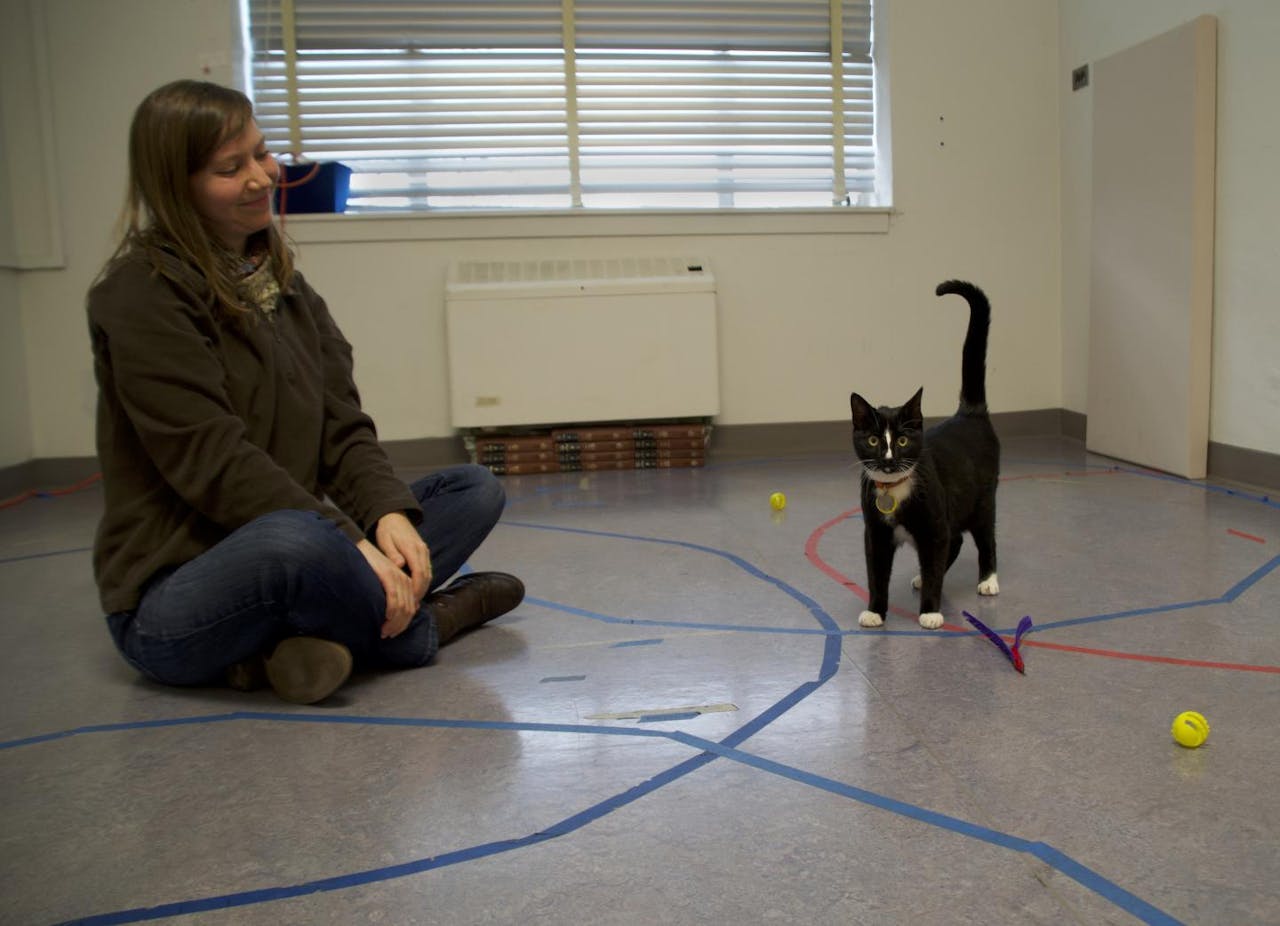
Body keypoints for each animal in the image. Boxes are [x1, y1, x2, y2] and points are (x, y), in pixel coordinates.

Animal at [849, 280, 998, 630]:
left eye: (902, 441)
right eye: (873, 440)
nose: (889, 459)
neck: (894, 491)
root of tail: (969, 413)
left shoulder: (933, 526)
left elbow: (935, 563)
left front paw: (930, 611)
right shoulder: (875, 534)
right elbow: (876, 575)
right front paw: (875, 611)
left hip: (982, 499)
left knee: (984, 537)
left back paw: (988, 579)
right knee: (955, 541)